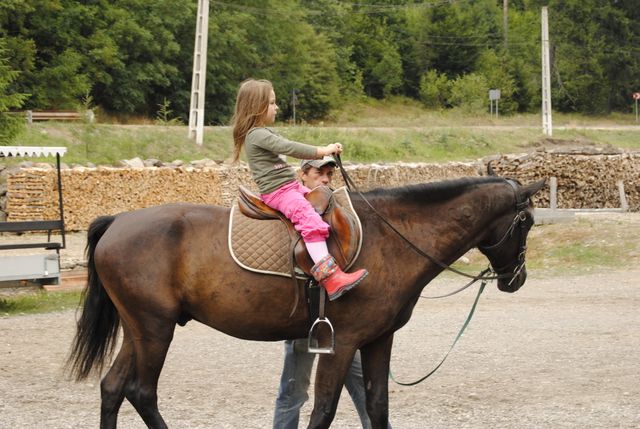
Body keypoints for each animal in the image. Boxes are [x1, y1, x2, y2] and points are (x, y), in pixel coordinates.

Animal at [67, 175, 545, 429]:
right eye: (526, 222)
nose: (517, 279)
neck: (391, 237)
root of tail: (119, 221)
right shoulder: (342, 342)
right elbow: (324, 409)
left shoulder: (378, 340)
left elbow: (376, 405)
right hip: (154, 329)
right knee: (141, 391)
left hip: (140, 329)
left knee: (113, 388)